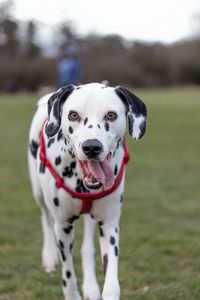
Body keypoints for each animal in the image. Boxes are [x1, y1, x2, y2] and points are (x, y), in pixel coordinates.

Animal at [27, 82, 147, 300]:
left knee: (87, 248)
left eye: (111, 115)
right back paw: (49, 256)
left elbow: (111, 286)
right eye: (73, 115)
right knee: (45, 217)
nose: (92, 147)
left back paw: (90, 286)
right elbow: (68, 279)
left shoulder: (109, 225)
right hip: (38, 193)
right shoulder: (63, 226)